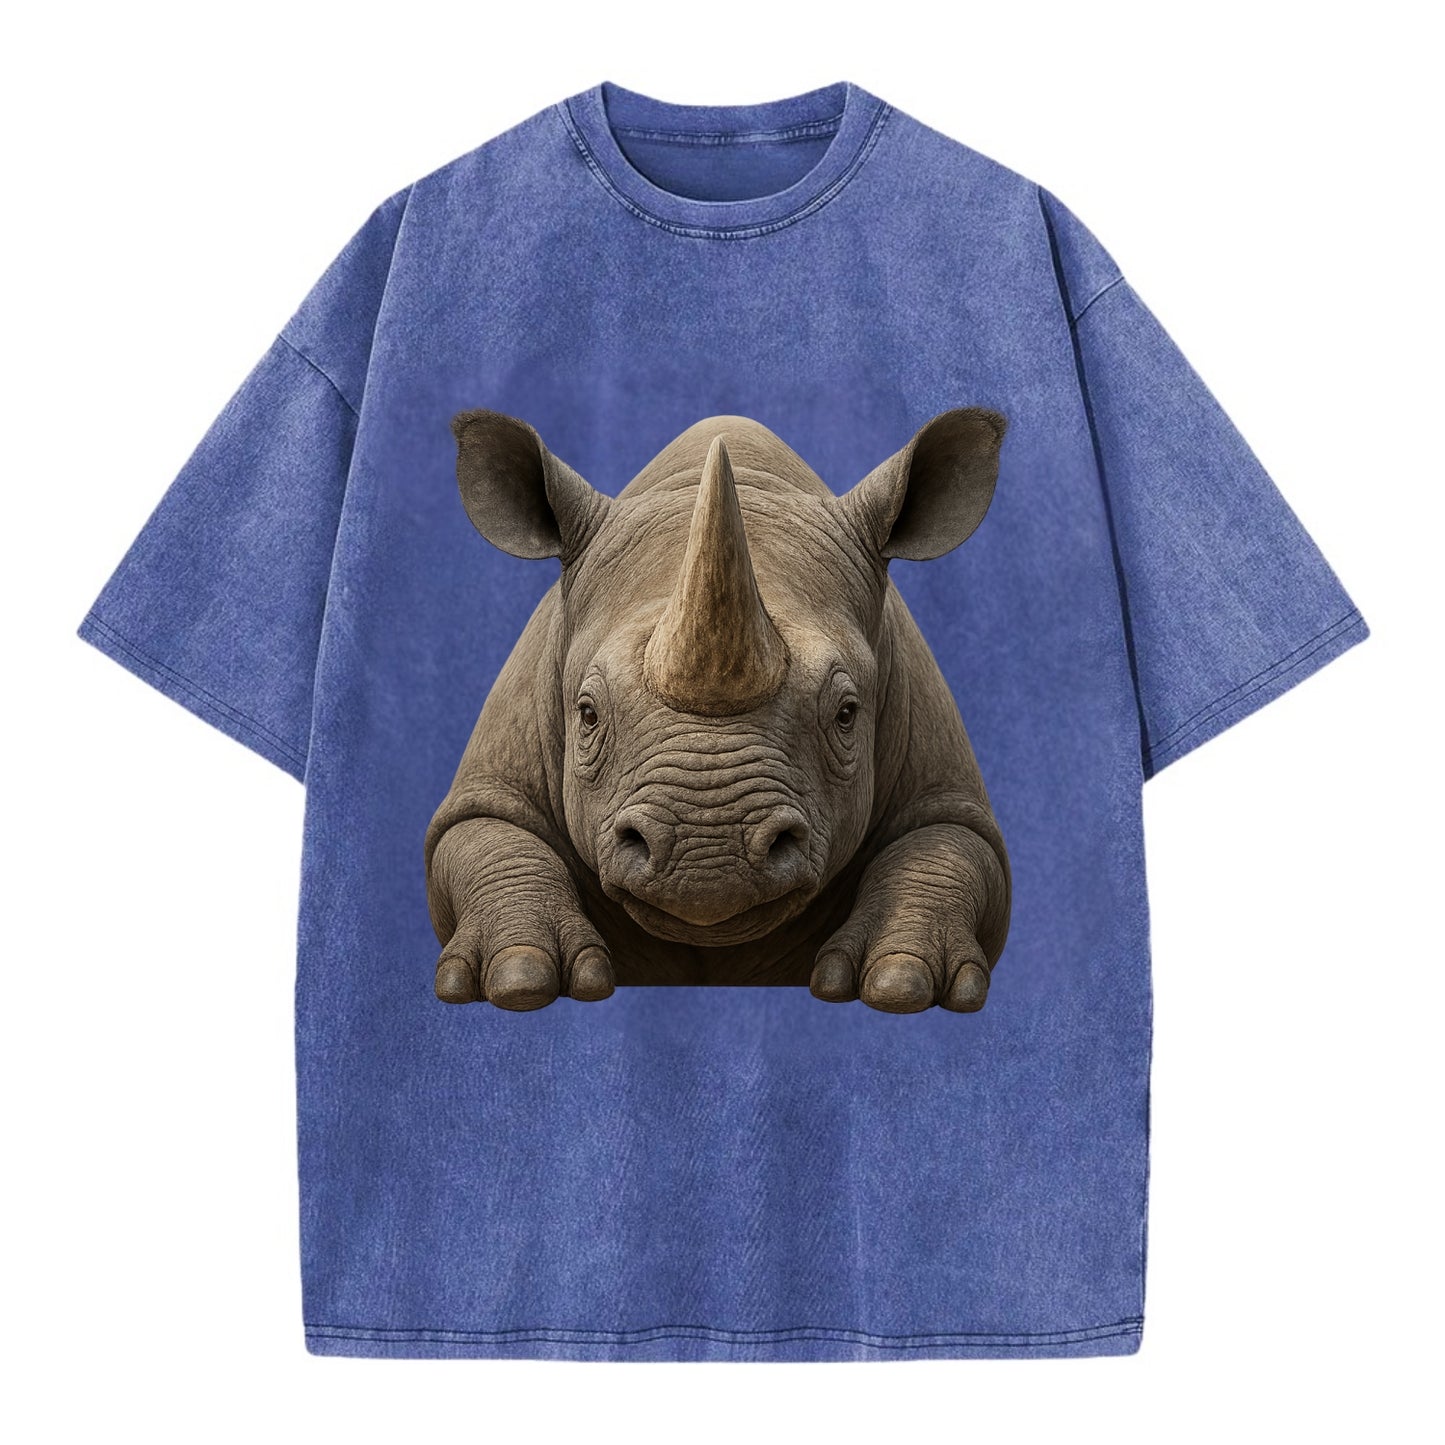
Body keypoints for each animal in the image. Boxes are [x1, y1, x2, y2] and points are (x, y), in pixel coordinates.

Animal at [424, 408, 1012, 1015]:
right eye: (587, 714)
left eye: (847, 714)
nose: (708, 858)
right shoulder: (493, 780)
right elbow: (485, 834)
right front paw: (520, 978)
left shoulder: (942, 781)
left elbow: (947, 844)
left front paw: (901, 983)